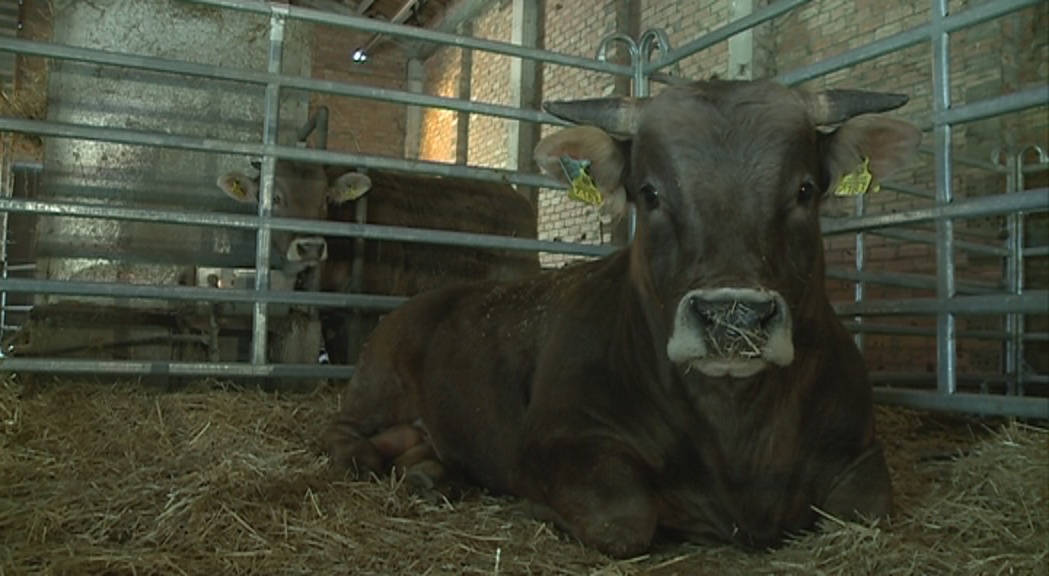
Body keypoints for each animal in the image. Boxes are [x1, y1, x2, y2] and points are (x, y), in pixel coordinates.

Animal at [320, 77, 918, 558]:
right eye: (649, 193)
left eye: (805, 190)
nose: (733, 317)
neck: (738, 433)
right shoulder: (553, 439)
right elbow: (623, 519)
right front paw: (538, 508)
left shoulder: (860, 448)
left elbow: (866, 509)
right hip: (375, 380)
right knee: (344, 436)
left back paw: (430, 471)